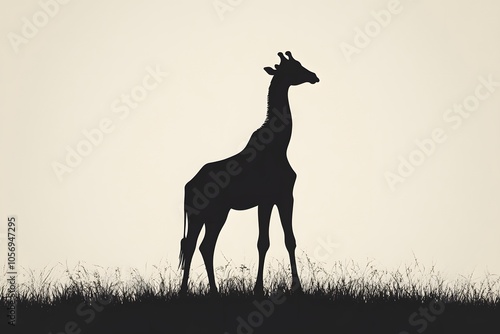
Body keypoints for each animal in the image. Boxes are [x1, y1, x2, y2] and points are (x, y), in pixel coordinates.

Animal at [180, 50, 320, 294]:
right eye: (294, 67)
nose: (314, 76)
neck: (280, 146)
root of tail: (188, 186)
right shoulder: (268, 198)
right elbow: (264, 241)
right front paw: (260, 289)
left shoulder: (283, 196)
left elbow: (289, 239)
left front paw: (295, 287)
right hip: (205, 214)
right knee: (194, 245)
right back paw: (188, 291)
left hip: (213, 214)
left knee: (201, 246)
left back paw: (207, 290)